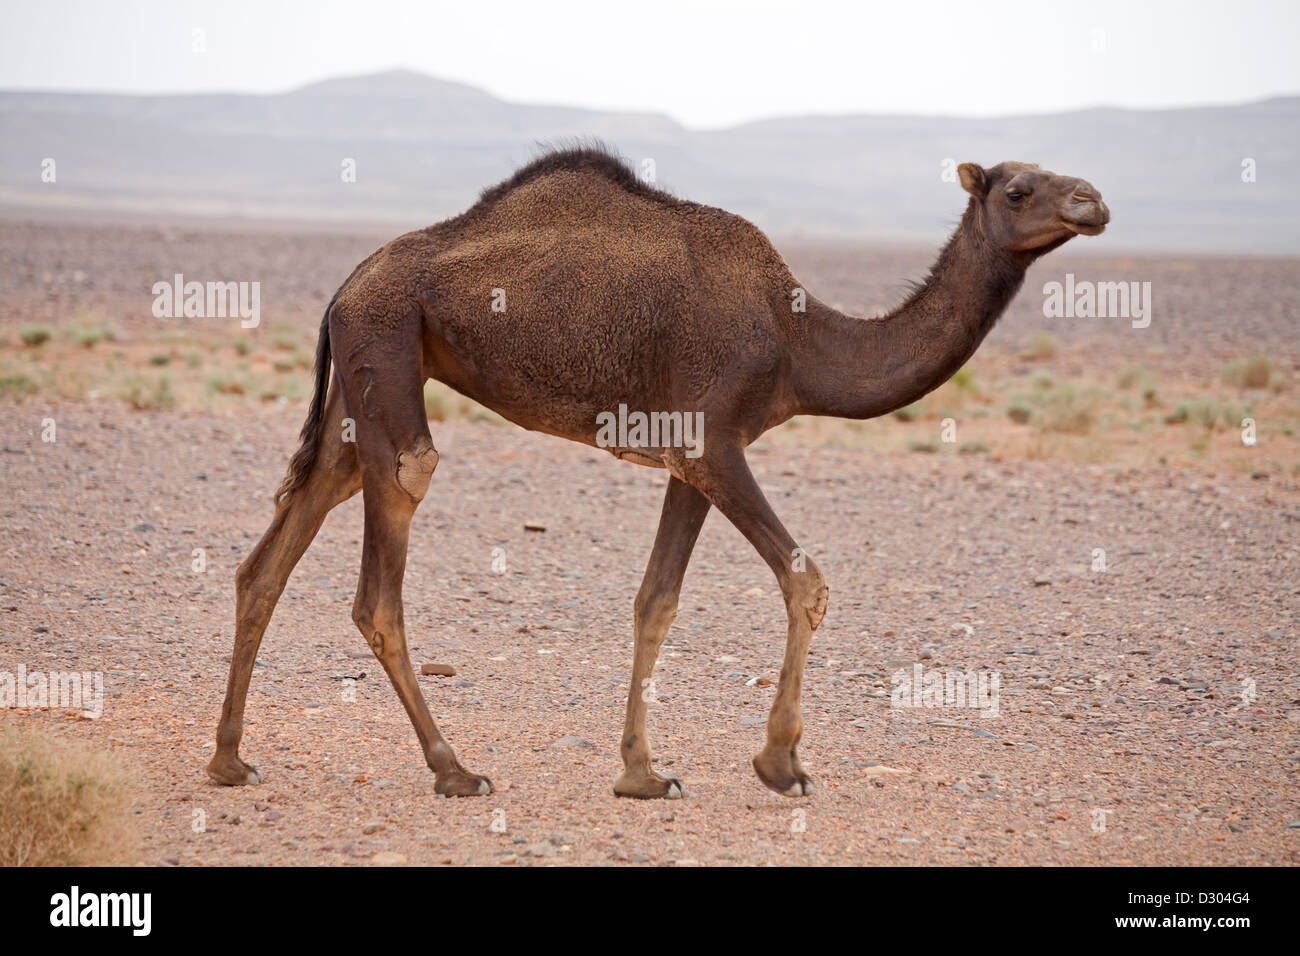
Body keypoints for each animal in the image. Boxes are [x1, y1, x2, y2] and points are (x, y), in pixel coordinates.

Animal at [208, 147, 1112, 801]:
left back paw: (228, 761)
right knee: (388, 550)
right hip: (387, 349)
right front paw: (780, 763)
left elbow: (656, 601)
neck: (801, 343)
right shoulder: (715, 443)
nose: (1094, 201)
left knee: (275, 551)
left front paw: (642, 773)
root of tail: (343, 285)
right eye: (1021, 188)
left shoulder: (692, 455)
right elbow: (804, 579)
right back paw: (455, 770)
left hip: (358, 394)